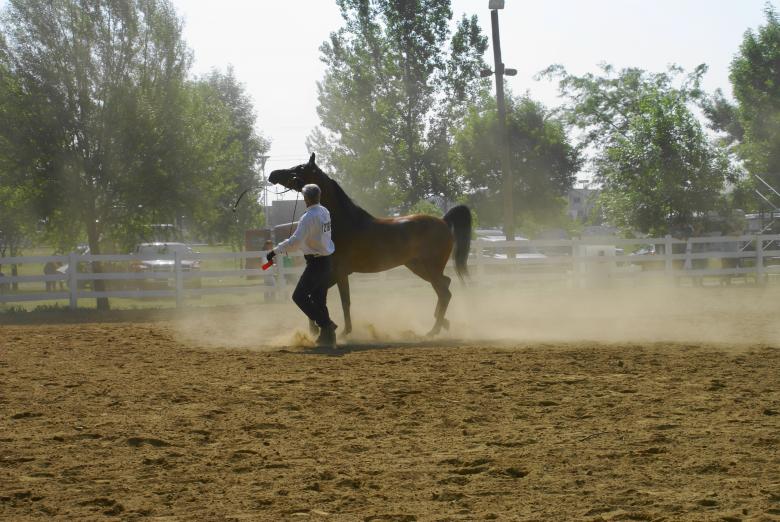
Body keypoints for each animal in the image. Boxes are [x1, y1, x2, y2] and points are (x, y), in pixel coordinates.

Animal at [268, 153, 472, 337]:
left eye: (300, 168)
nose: (273, 174)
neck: (344, 223)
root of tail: (443, 221)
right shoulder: (334, 274)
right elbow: (319, 298)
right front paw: (319, 329)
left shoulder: (340, 273)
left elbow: (344, 301)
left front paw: (345, 332)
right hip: (418, 267)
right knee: (445, 285)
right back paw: (442, 322)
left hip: (429, 267)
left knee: (444, 292)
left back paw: (433, 331)